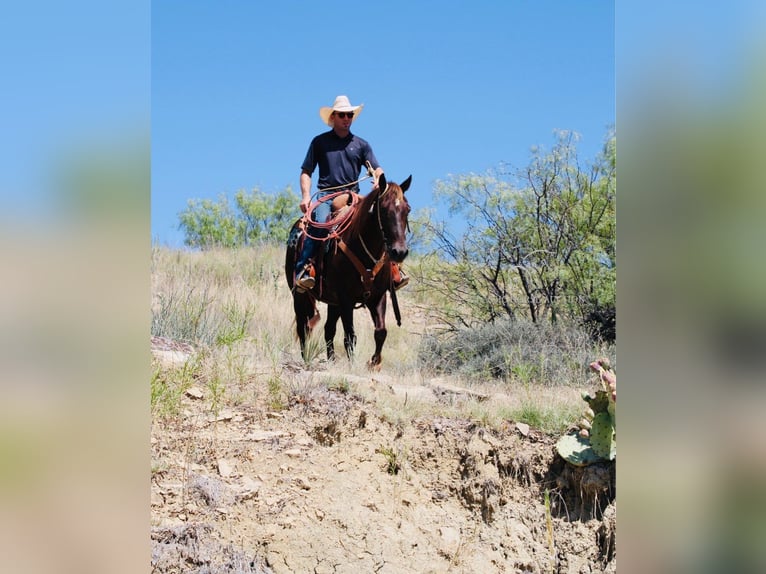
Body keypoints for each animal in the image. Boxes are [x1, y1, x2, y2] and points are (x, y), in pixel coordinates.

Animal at [284, 173, 412, 368]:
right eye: (383, 209)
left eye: (407, 210)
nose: (400, 252)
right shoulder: (346, 299)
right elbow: (350, 336)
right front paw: (353, 365)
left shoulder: (378, 296)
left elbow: (381, 332)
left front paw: (374, 362)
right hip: (300, 295)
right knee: (303, 327)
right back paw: (306, 359)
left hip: (332, 302)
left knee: (328, 329)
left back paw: (331, 360)